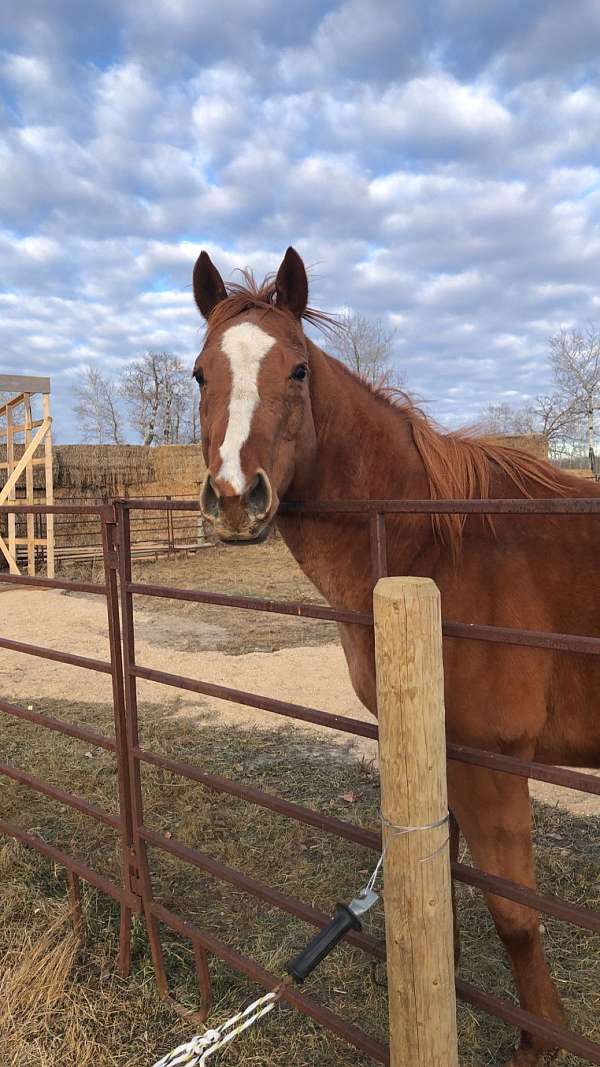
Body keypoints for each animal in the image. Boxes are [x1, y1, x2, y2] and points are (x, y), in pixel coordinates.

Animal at [191, 245, 597, 1062]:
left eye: (298, 369)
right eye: (198, 374)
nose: (235, 498)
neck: (439, 548)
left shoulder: (490, 761)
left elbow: (515, 914)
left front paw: (538, 1041)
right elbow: (445, 885)